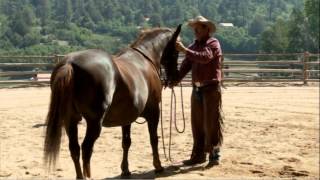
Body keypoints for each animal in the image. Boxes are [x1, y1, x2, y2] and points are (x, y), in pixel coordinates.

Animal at [43, 25, 181, 179]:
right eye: (176, 51)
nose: (175, 77)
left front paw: (125, 170)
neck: (146, 58)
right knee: (86, 149)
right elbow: (154, 139)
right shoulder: (154, 112)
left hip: (70, 120)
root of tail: (70, 63)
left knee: (75, 149)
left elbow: (126, 142)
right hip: (94, 123)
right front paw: (158, 166)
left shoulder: (127, 118)